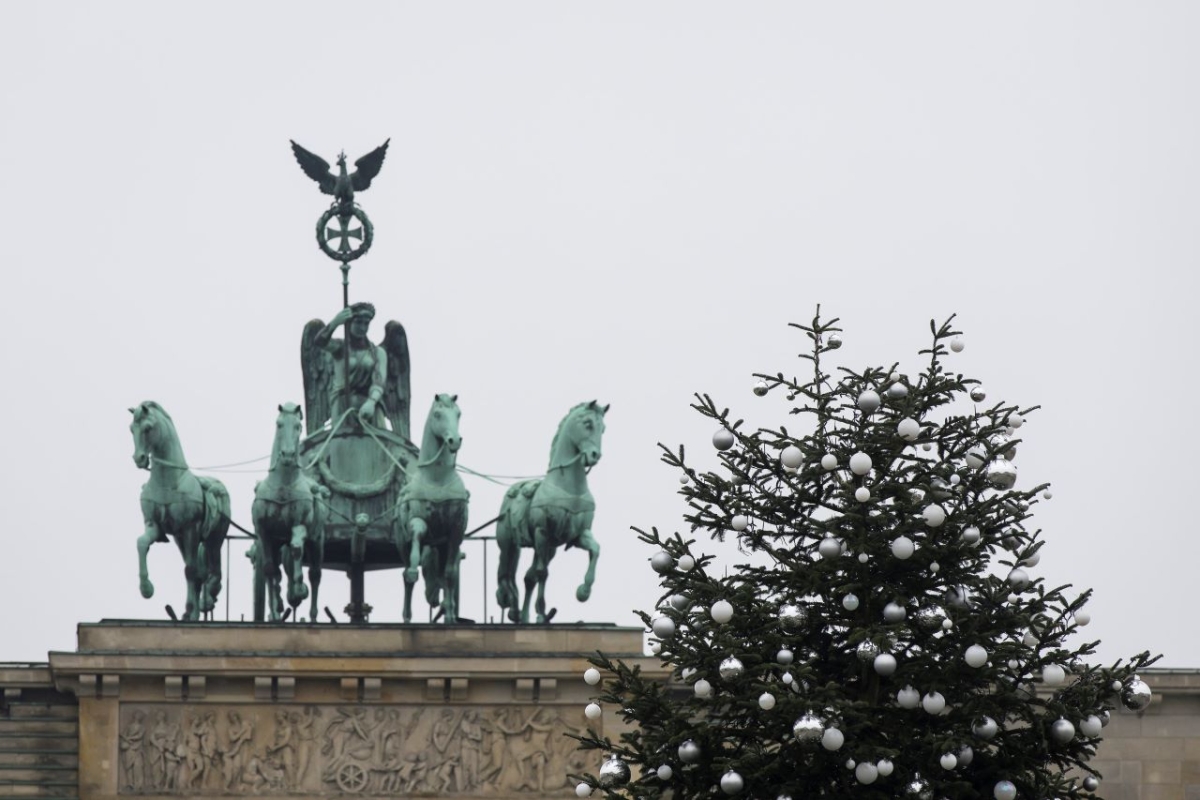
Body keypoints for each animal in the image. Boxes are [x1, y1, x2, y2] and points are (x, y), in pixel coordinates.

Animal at [132, 402, 234, 623]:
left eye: (148, 429)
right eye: (130, 429)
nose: (139, 459)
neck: (168, 480)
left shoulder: (190, 529)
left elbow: (190, 570)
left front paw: (189, 608)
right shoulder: (155, 526)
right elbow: (142, 543)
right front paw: (146, 589)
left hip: (214, 538)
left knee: (213, 571)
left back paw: (207, 598)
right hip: (180, 539)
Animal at [250, 402, 328, 623]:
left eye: (298, 426)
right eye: (279, 424)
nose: (287, 455)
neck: (283, 486)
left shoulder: (299, 525)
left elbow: (296, 549)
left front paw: (299, 589)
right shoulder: (264, 534)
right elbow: (270, 569)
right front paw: (276, 611)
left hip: (317, 541)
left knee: (315, 574)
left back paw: (311, 614)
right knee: (278, 572)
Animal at [393, 393, 468, 623]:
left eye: (458, 414)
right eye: (438, 414)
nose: (454, 441)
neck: (438, 478)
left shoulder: (455, 532)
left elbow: (450, 574)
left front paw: (450, 615)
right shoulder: (418, 522)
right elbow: (417, 535)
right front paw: (413, 569)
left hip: (441, 547)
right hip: (402, 543)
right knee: (406, 577)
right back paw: (407, 617)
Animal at [496, 402, 609, 623]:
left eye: (603, 429)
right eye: (588, 423)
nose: (595, 456)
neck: (569, 488)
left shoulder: (577, 535)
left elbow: (595, 550)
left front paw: (583, 591)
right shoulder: (542, 532)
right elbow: (542, 573)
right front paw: (541, 610)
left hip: (549, 549)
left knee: (527, 577)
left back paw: (524, 617)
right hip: (509, 544)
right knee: (507, 574)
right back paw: (514, 609)